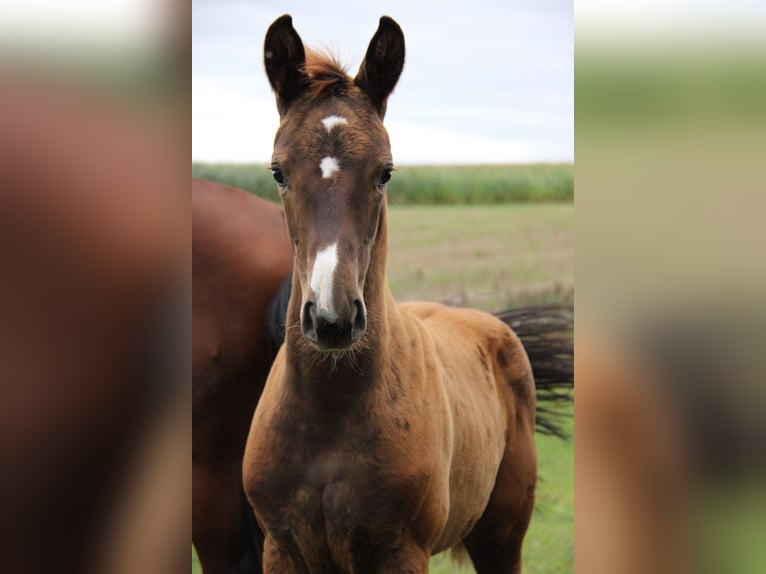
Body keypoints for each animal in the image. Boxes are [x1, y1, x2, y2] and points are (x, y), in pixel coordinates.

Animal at [246, 15, 544, 572]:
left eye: (385, 172)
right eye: (278, 171)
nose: (333, 319)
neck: (328, 416)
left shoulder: (399, 552)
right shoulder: (281, 549)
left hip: (502, 537)